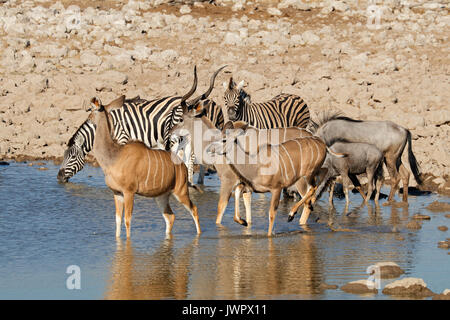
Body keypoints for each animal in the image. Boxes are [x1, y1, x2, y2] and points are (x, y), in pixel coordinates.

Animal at [89, 95, 200, 238]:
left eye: (92, 110)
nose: (89, 119)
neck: (113, 157)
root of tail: (182, 166)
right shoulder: (117, 193)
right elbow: (118, 220)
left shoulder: (129, 192)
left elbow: (127, 220)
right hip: (161, 196)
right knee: (170, 217)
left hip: (180, 192)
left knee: (194, 209)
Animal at [169, 100, 312, 228]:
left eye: (180, 119)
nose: (171, 133)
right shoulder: (245, 183)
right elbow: (246, 205)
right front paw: (245, 223)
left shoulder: (228, 180)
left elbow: (220, 210)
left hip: (301, 181)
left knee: (309, 201)